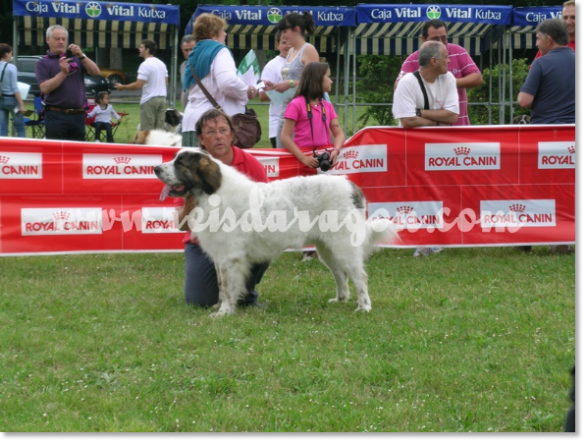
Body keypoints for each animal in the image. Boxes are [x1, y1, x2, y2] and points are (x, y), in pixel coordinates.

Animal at [154, 149, 396, 320]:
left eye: (180, 164)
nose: (155, 168)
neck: (211, 193)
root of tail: (351, 185)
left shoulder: (229, 257)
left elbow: (228, 286)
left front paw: (224, 312)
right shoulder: (221, 257)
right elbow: (222, 285)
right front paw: (221, 306)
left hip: (343, 245)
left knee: (359, 276)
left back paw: (364, 307)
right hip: (327, 248)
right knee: (340, 275)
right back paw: (340, 299)